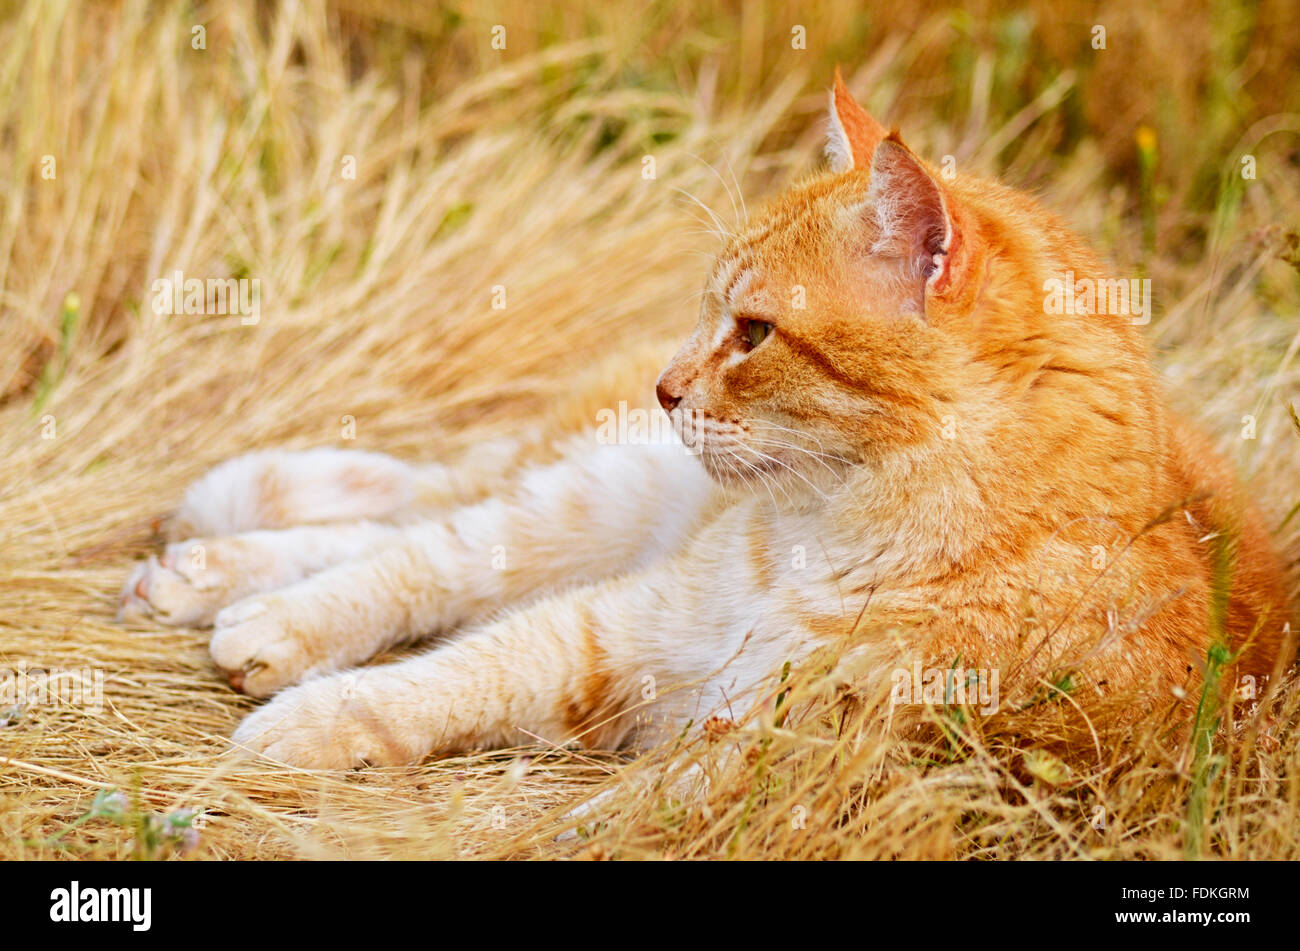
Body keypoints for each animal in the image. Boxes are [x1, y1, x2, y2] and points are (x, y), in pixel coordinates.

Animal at [122, 74, 1289, 774]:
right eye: (708, 313)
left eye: (755, 332)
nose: (665, 387)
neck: (850, 539)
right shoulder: (624, 625)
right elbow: (450, 666)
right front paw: (313, 709)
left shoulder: (704, 724)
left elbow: (458, 671)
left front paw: (312, 715)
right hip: (597, 499)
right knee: (430, 538)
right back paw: (231, 589)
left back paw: (214, 587)